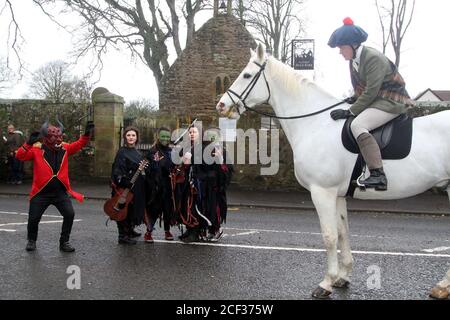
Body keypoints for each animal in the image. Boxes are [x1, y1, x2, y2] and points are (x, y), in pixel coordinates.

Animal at [216, 42, 450, 298]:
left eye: (247, 75)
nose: (221, 105)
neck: (316, 123)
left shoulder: (322, 192)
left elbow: (329, 237)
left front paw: (326, 282)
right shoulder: (337, 195)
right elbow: (342, 232)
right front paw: (343, 277)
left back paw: (443, 286)